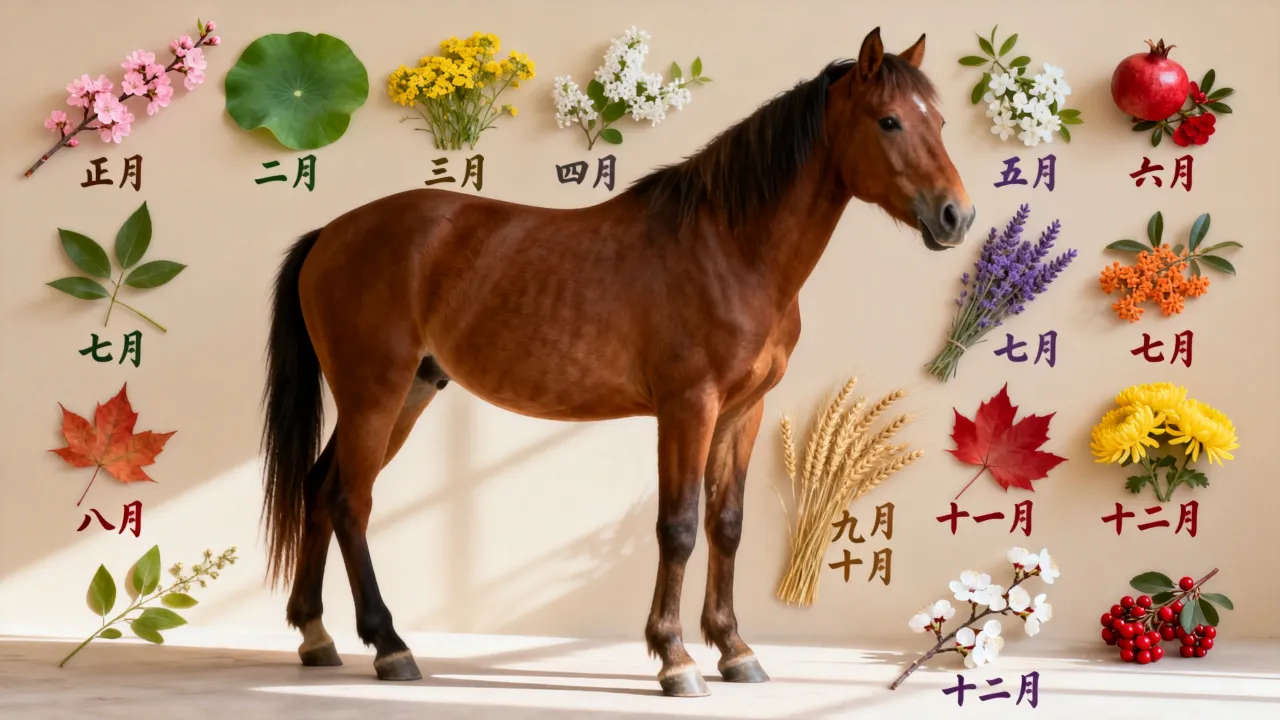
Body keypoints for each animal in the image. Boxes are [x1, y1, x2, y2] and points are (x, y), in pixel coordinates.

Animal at [260, 26, 973, 698]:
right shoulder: (688, 406)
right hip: (373, 393)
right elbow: (679, 525)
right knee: (350, 500)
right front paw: (675, 658)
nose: (956, 216)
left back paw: (317, 637)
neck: (730, 249)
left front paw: (735, 650)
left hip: (408, 392)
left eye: (940, 122)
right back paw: (390, 646)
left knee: (319, 491)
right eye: (889, 121)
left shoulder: (743, 411)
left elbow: (728, 524)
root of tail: (329, 233)